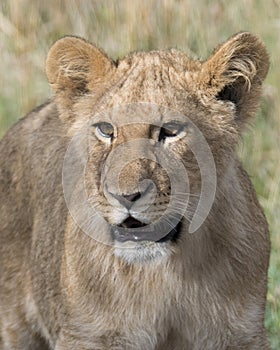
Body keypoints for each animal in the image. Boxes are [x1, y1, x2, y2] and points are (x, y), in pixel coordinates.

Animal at [0, 32, 272, 348]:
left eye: (170, 131)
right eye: (106, 130)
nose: (125, 197)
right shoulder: (87, 335)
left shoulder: (242, 334)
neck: (164, 275)